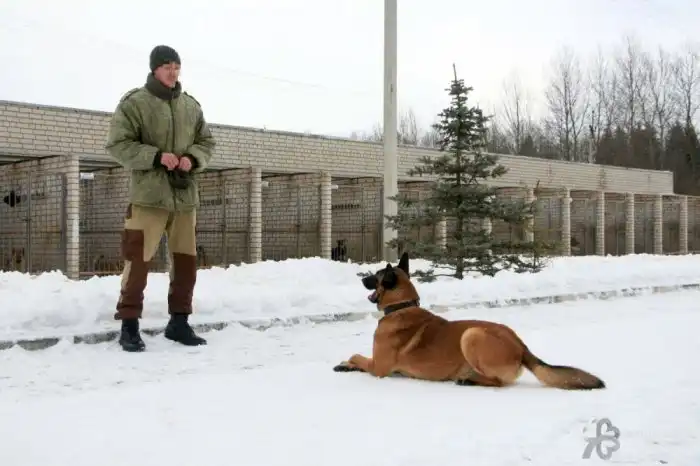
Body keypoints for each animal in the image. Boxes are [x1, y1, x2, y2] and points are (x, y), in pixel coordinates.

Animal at [333, 252, 605, 390]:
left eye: (376, 276)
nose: (361, 279)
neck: (403, 306)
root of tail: (520, 346)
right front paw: (347, 364)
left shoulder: (379, 367)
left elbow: (358, 356)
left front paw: (346, 363)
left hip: (472, 334)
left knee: (498, 382)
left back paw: (468, 380)